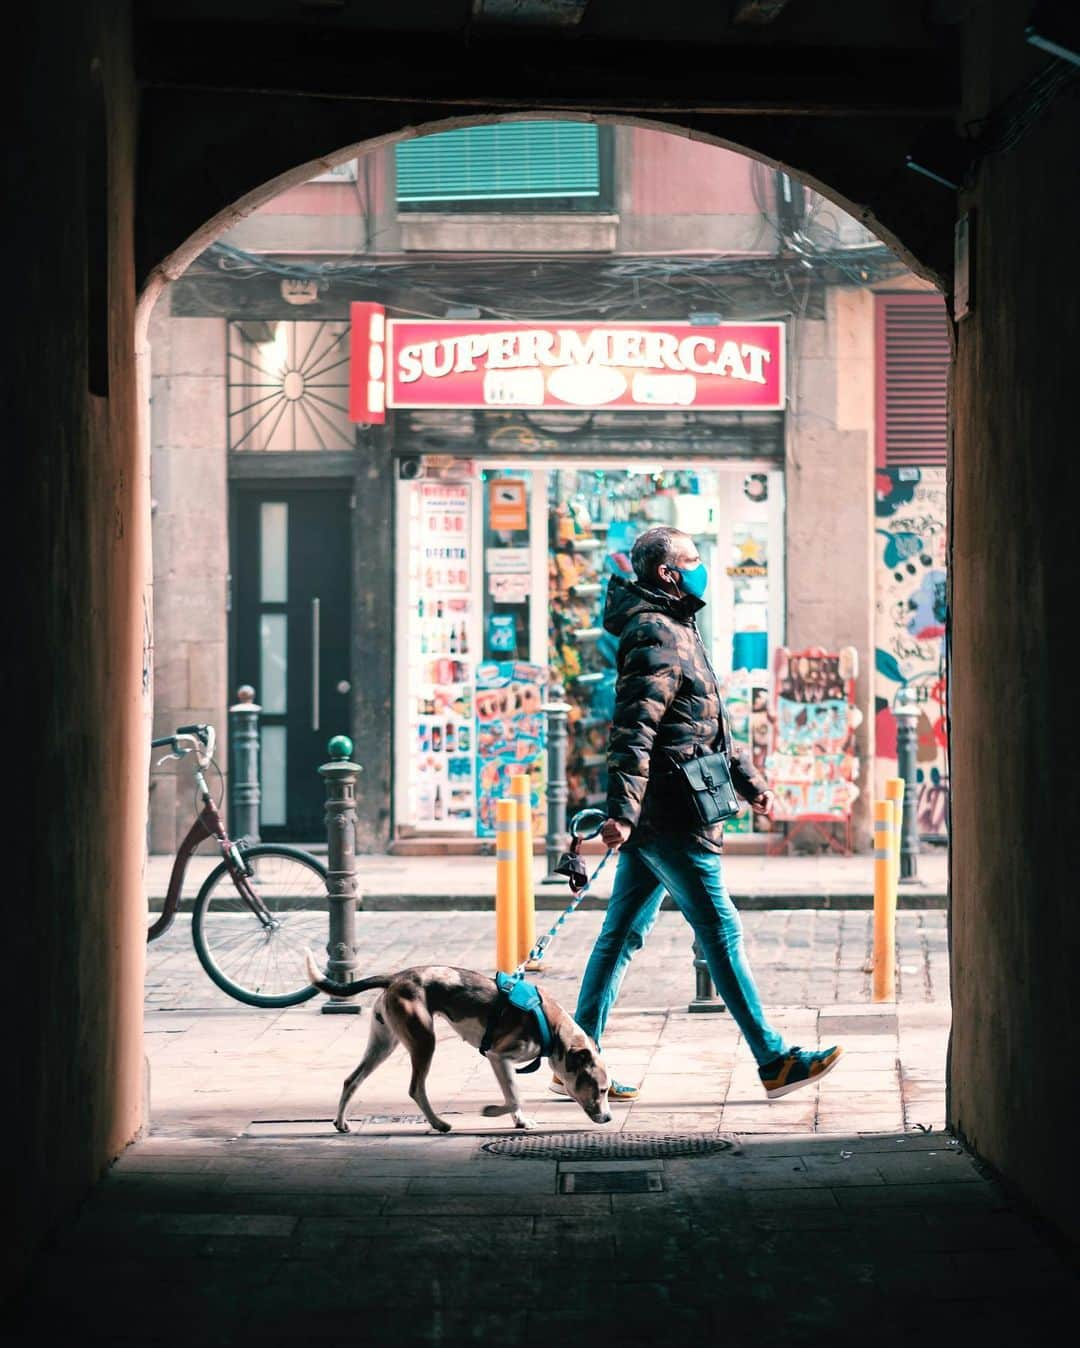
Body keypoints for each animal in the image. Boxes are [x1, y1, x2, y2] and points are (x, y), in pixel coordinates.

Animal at [303, 954, 612, 1132]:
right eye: (601, 1089)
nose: (609, 1119)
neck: (552, 1027)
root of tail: (395, 977)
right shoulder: (499, 1056)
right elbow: (515, 1096)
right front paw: (491, 1111)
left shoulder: (499, 1061)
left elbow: (513, 1095)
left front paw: (520, 1121)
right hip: (424, 1040)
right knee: (415, 1088)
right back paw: (438, 1123)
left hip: (383, 1044)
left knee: (351, 1080)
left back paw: (341, 1122)